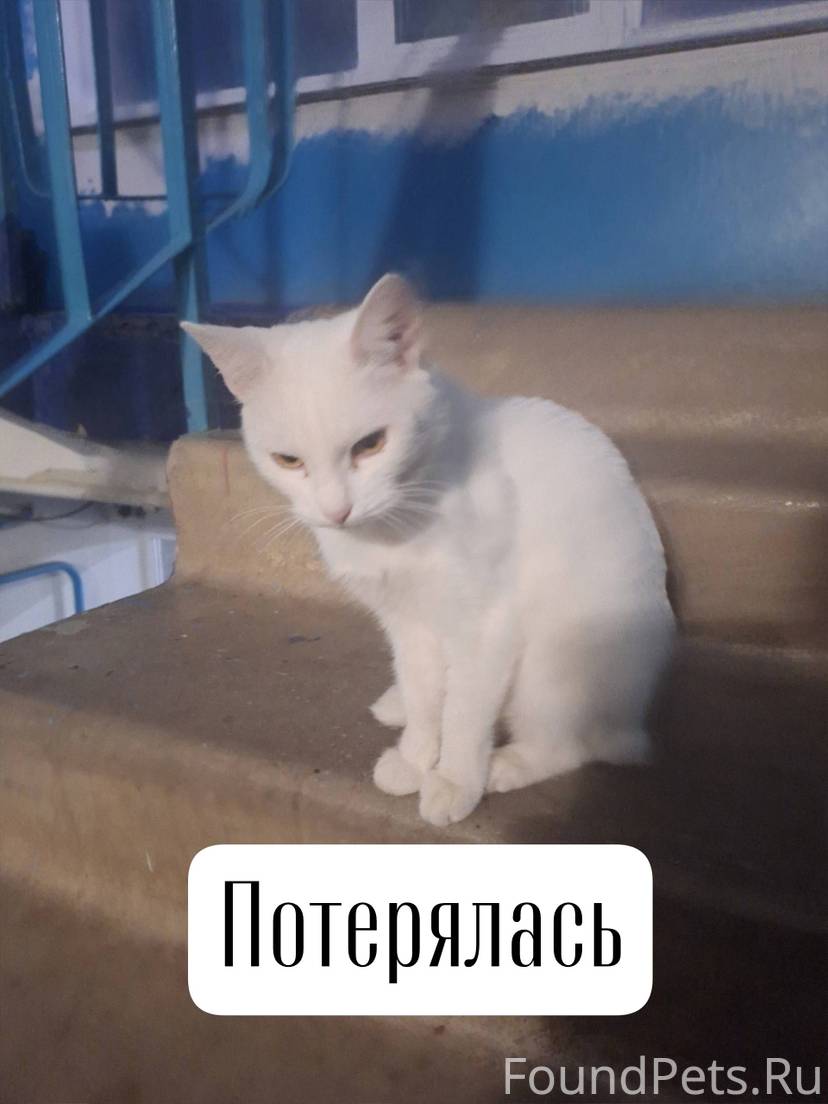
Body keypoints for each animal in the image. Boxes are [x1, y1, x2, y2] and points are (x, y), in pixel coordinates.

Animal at [182, 274, 674, 827]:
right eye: (288, 460)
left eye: (370, 444)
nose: (336, 511)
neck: (393, 524)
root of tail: (633, 723)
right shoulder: (405, 620)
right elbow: (424, 695)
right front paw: (416, 756)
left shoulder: (484, 622)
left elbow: (463, 711)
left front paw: (455, 779)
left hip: (555, 662)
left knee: (570, 744)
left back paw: (508, 764)